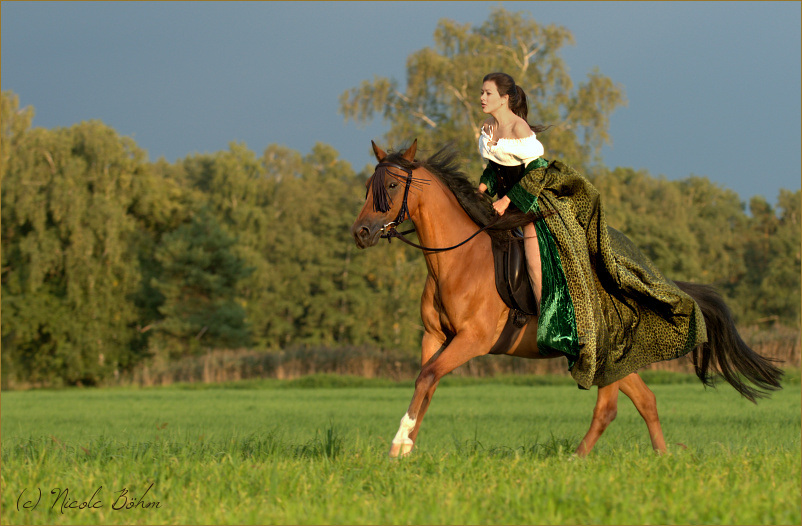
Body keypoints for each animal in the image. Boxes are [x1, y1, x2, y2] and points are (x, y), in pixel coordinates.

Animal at [350, 140, 780, 458]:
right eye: (368, 189)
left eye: (391, 187)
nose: (361, 232)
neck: (456, 261)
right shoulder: (435, 337)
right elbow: (426, 383)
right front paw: (406, 448)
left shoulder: (472, 340)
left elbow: (427, 378)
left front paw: (399, 443)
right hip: (617, 359)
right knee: (646, 400)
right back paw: (661, 458)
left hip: (603, 353)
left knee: (609, 407)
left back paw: (576, 459)